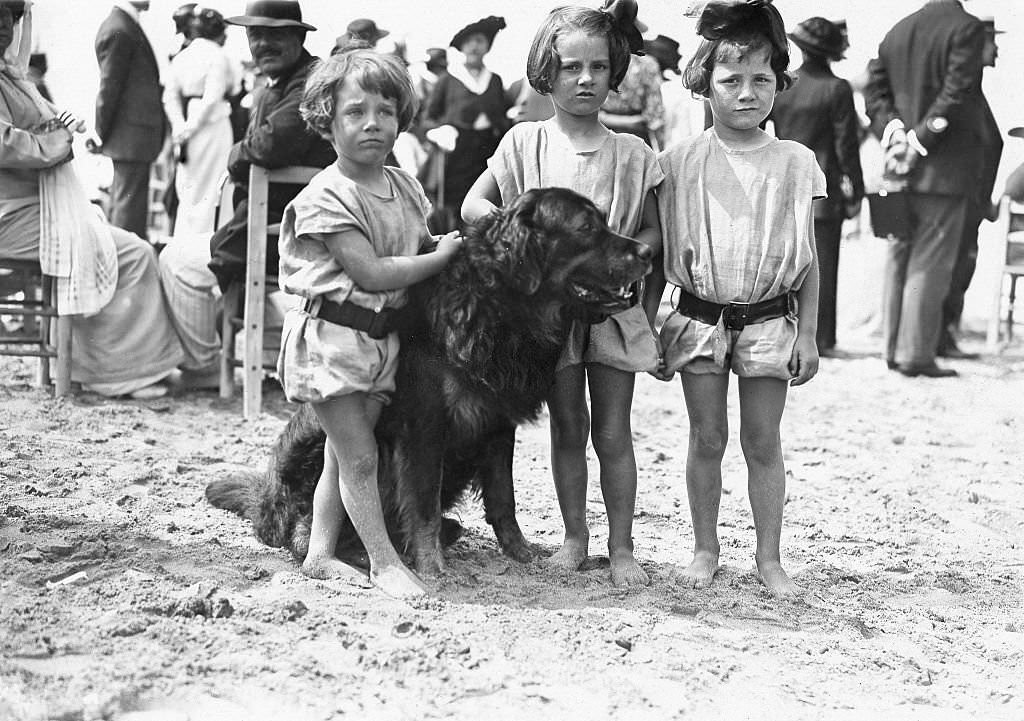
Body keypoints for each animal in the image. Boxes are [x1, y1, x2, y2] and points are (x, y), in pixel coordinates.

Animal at [206, 188, 651, 577]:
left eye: (603, 221)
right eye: (586, 227)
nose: (648, 252)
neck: (495, 308)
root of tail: (265, 502)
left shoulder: (496, 420)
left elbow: (503, 497)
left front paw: (520, 551)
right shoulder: (425, 426)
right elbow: (421, 505)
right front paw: (431, 564)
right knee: (309, 530)